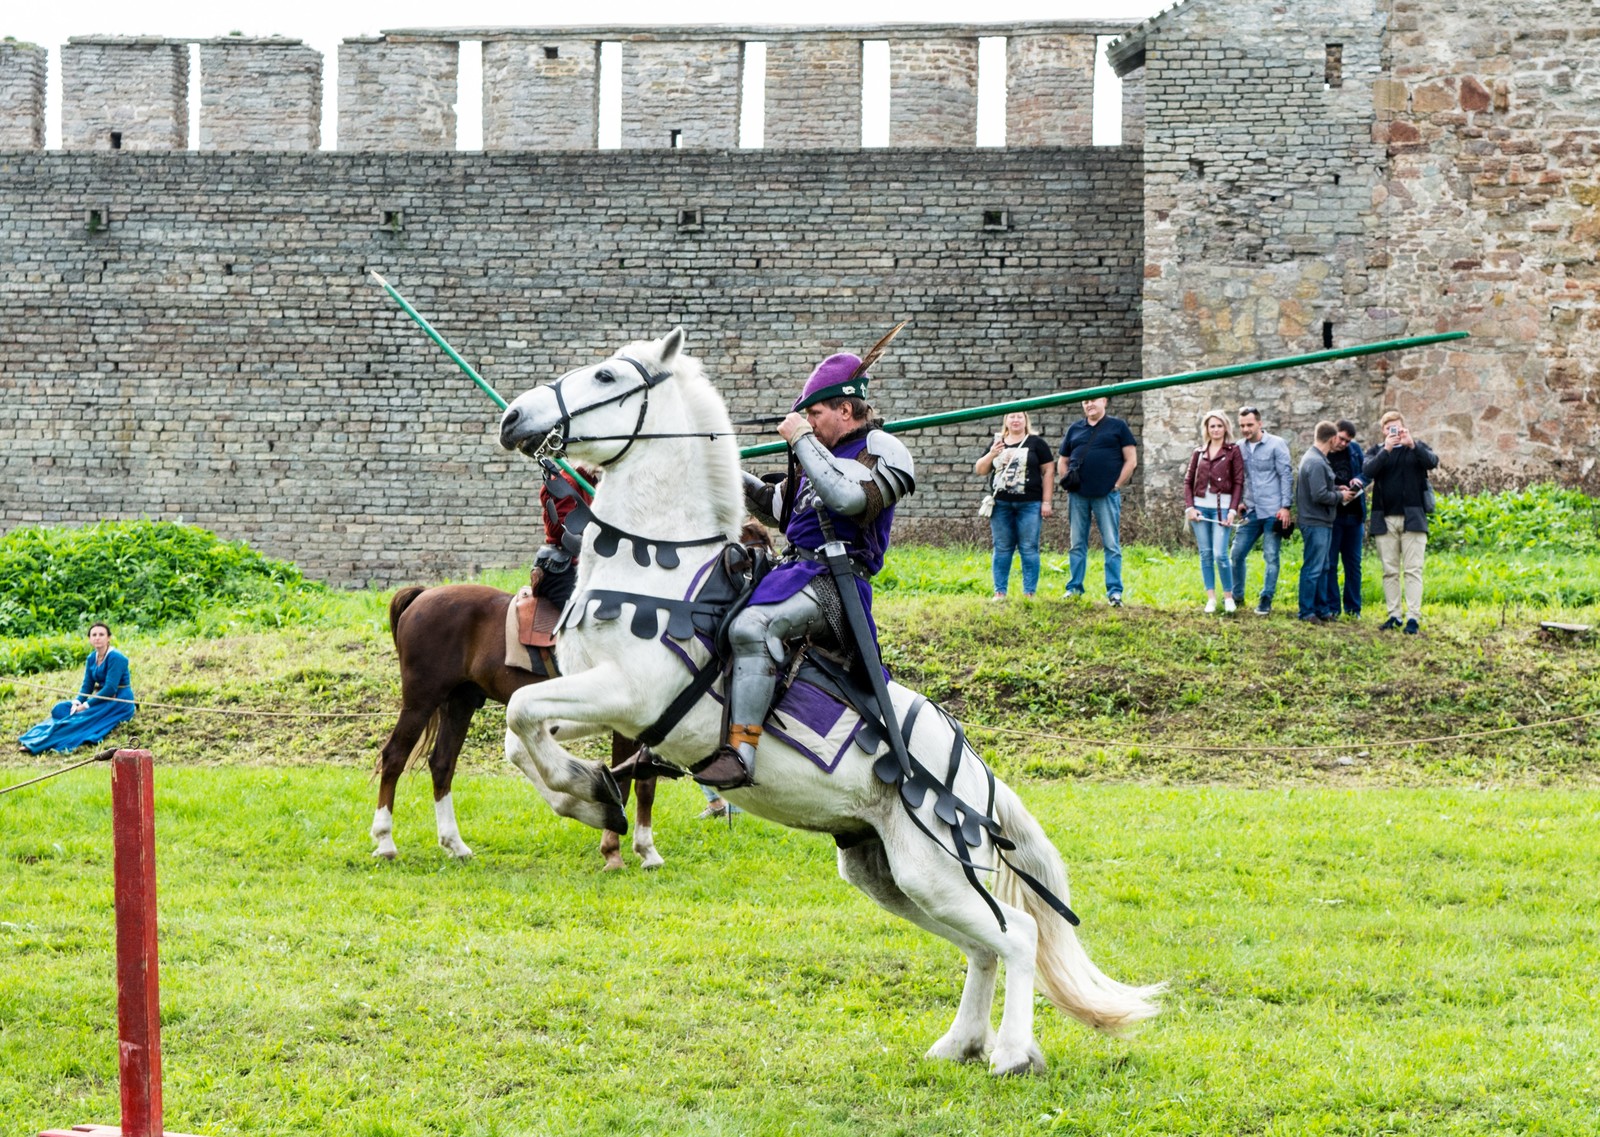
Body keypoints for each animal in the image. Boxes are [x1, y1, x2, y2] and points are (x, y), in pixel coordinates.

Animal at [371, 588, 659, 869]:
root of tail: (423, 594)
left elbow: (645, 784)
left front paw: (646, 850)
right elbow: (628, 784)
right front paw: (615, 851)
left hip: (459, 704)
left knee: (442, 764)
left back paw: (455, 844)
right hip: (421, 701)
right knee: (394, 757)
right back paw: (385, 841)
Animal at [499, 329, 1164, 1074]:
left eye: (608, 375)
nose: (514, 418)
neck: (659, 564)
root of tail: (980, 783)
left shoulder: (627, 692)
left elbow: (520, 713)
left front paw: (592, 794)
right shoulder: (597, 703)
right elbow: (520, 732)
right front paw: (588, 793)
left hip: (932, 868)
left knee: (1016, 933)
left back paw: (1013, 1052)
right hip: (889, 873)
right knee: (983, 943)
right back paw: (961, 1043)